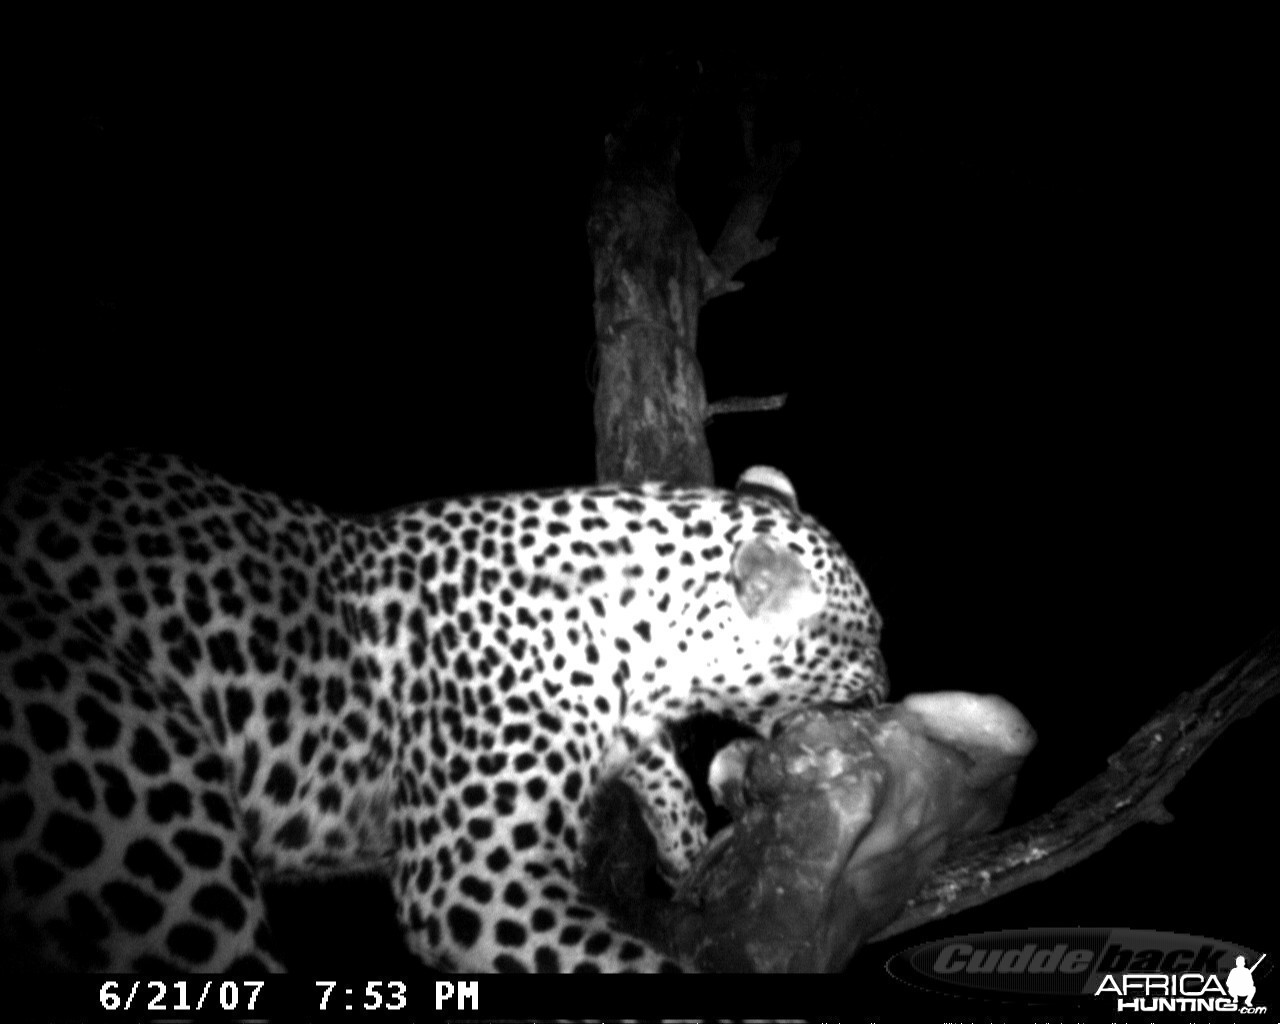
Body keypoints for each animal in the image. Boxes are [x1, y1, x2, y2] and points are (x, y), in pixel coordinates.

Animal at [0, 453, 885, 972]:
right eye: (868, 639)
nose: (883, 692)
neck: (643, 643)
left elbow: (655, 759)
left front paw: (687, 845)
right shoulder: (479, 880)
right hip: (156, 836)